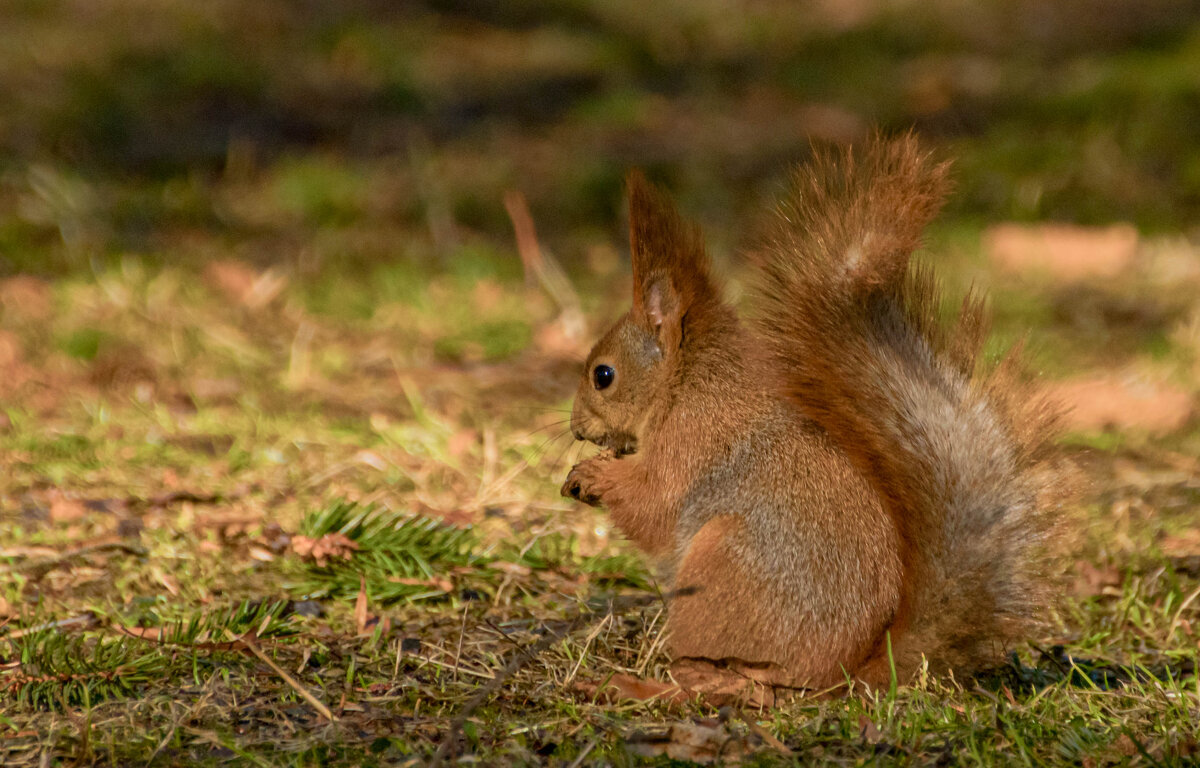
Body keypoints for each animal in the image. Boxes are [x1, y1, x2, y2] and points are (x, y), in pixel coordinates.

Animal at [559, 133, 1070, 691]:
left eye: (603, 375)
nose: (575, 428)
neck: (689, 380)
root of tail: (844, 673)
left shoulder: (694, 437)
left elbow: (656, 502)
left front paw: (593, 475)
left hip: (723, 570)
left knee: (741, 686)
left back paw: (655, 686)